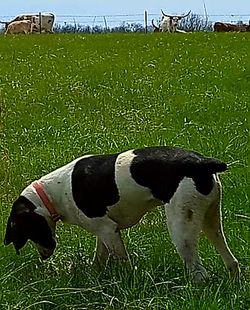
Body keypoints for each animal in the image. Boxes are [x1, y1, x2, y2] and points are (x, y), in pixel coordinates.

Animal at [3, 147, 238, 284]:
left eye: (28, 230)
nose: (44, 256)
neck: (53, 193)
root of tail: (201, 162)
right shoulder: (103, 231)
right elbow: (99, 259)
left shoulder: (109, 231)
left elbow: (123, 262)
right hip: (211, 222)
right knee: (231, 261)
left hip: (182, 231)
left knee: (199, 273)